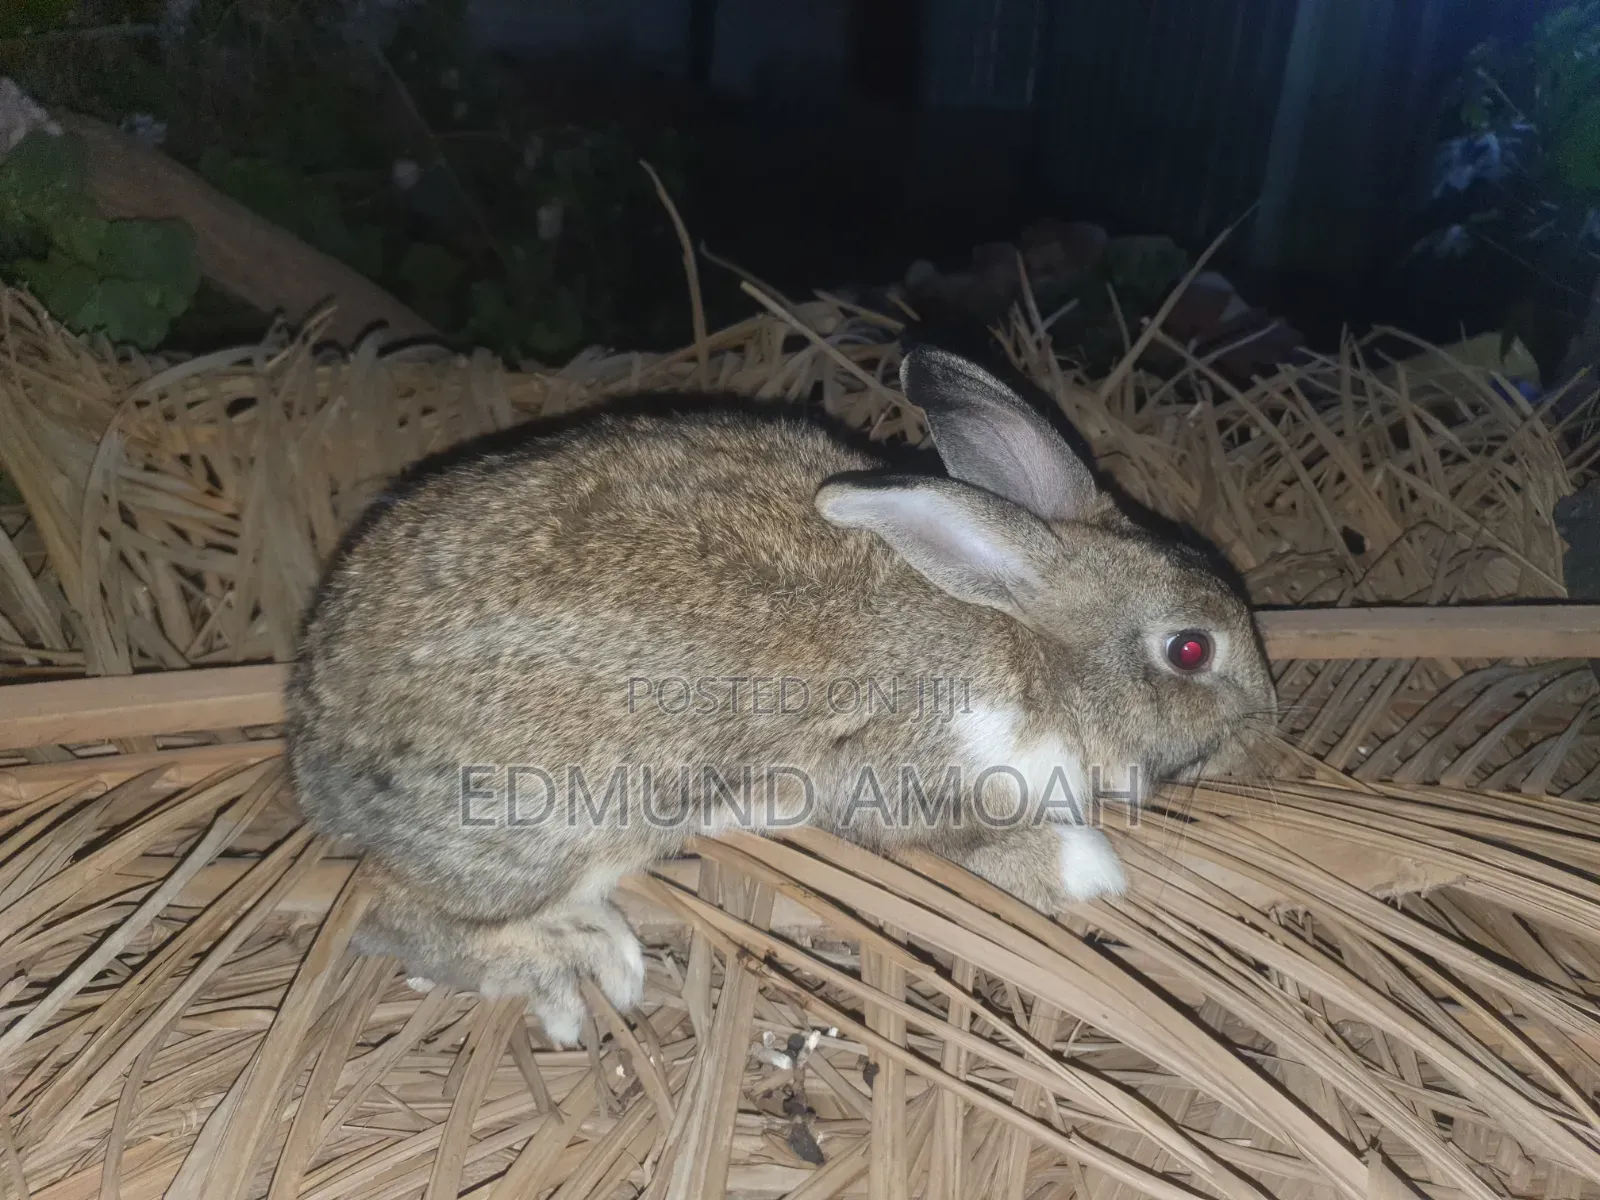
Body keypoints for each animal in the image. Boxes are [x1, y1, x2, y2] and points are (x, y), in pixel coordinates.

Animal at [284, 345, 1277, 1046]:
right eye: (1190, 649)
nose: (1263, 723)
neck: (1022, 638)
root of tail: (316, 753)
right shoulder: (899, 784)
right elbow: (985, 850)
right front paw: (1093, 870)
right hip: (555, 826)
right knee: (392, 916)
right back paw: (574, 970)